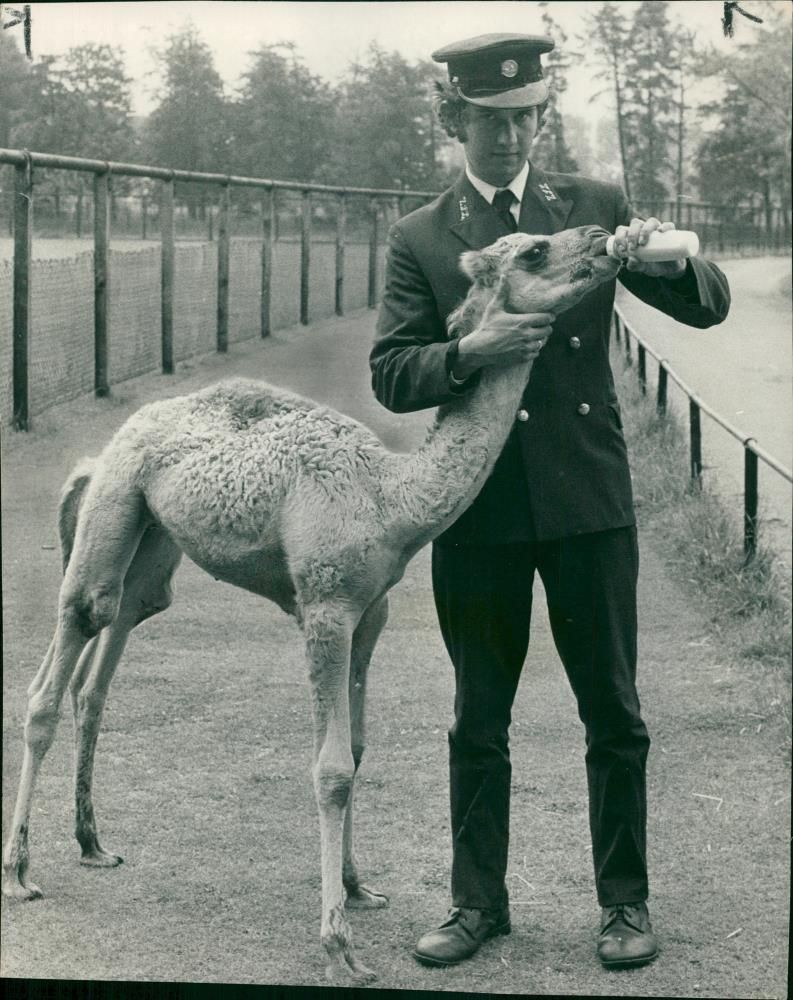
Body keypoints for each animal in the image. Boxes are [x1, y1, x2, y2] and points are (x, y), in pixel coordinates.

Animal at [1, 223, 620, 980]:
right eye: (533, 250)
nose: (600, 234)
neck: (392, 500)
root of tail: (109, 445)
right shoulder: (325, 604)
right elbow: (330, 770)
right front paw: (339, 944)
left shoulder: (370, 611)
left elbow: (354, 747)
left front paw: (356, 888)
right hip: (114, 507)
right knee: (60, 661)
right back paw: (21, 871)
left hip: (152, 550)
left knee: (104, 661)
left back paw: (92, 842)